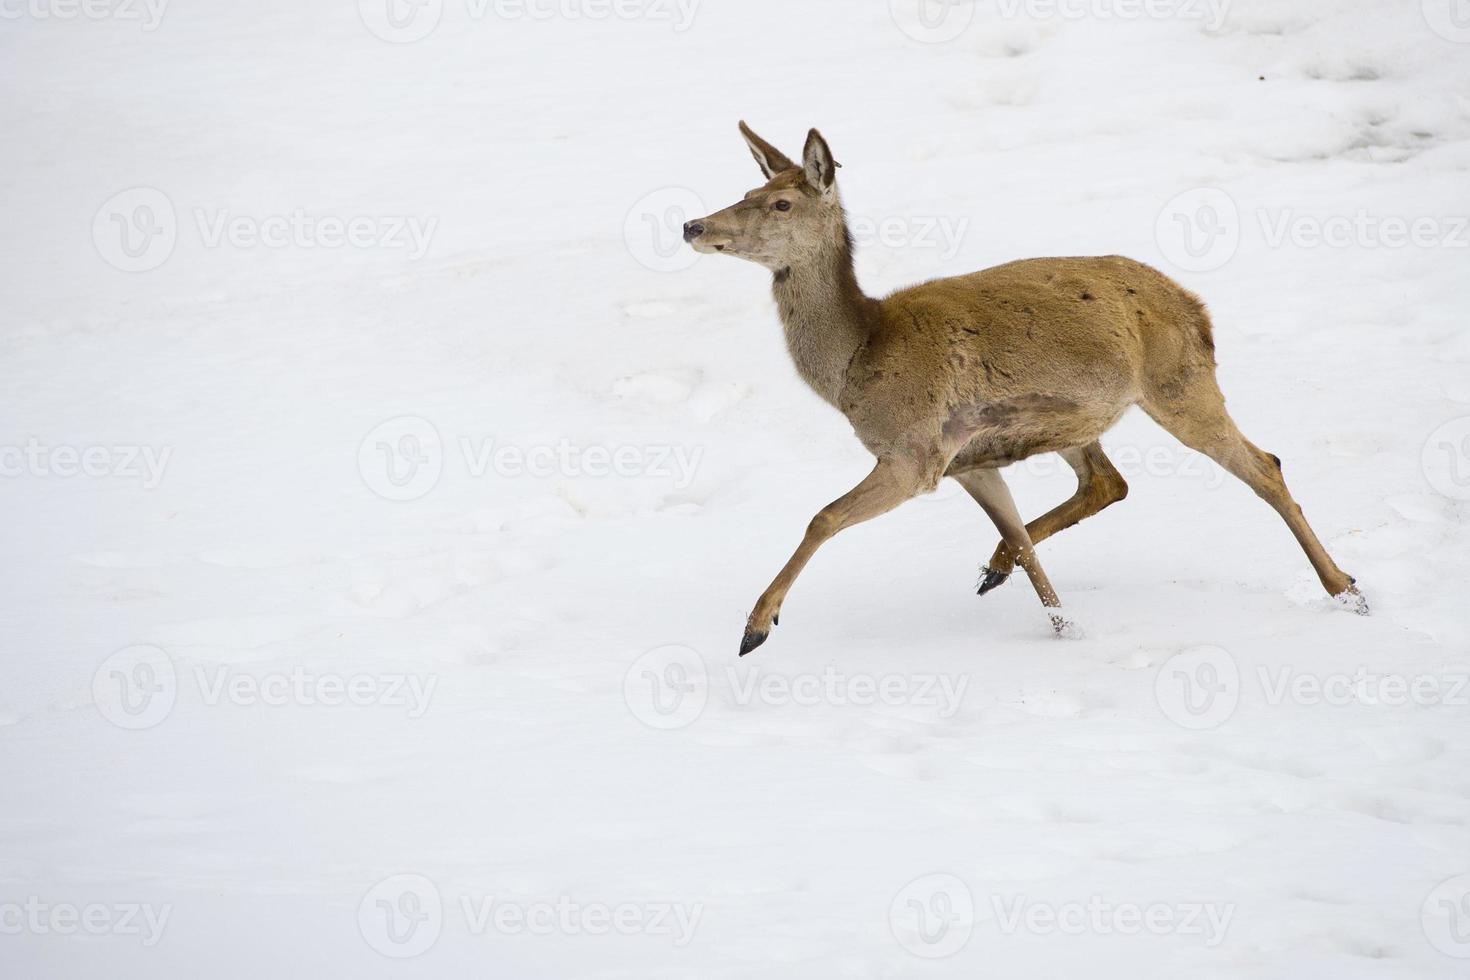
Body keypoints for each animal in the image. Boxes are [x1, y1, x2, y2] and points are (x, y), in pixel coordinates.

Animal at [682, 122, 1370, 658]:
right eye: (747, 190)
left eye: (780, 204)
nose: (692, 224)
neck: (859, 363)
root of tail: (1197, 307)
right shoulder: (969, 460)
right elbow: (1021, 538)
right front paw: (1065, 629)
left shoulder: (916, 453)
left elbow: (821, 516)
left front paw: (755, 627)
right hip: (1079, 422)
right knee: (1108, 482)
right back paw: (994, 569)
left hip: (1180, 383)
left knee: (1264, 465)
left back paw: (1347, 590)